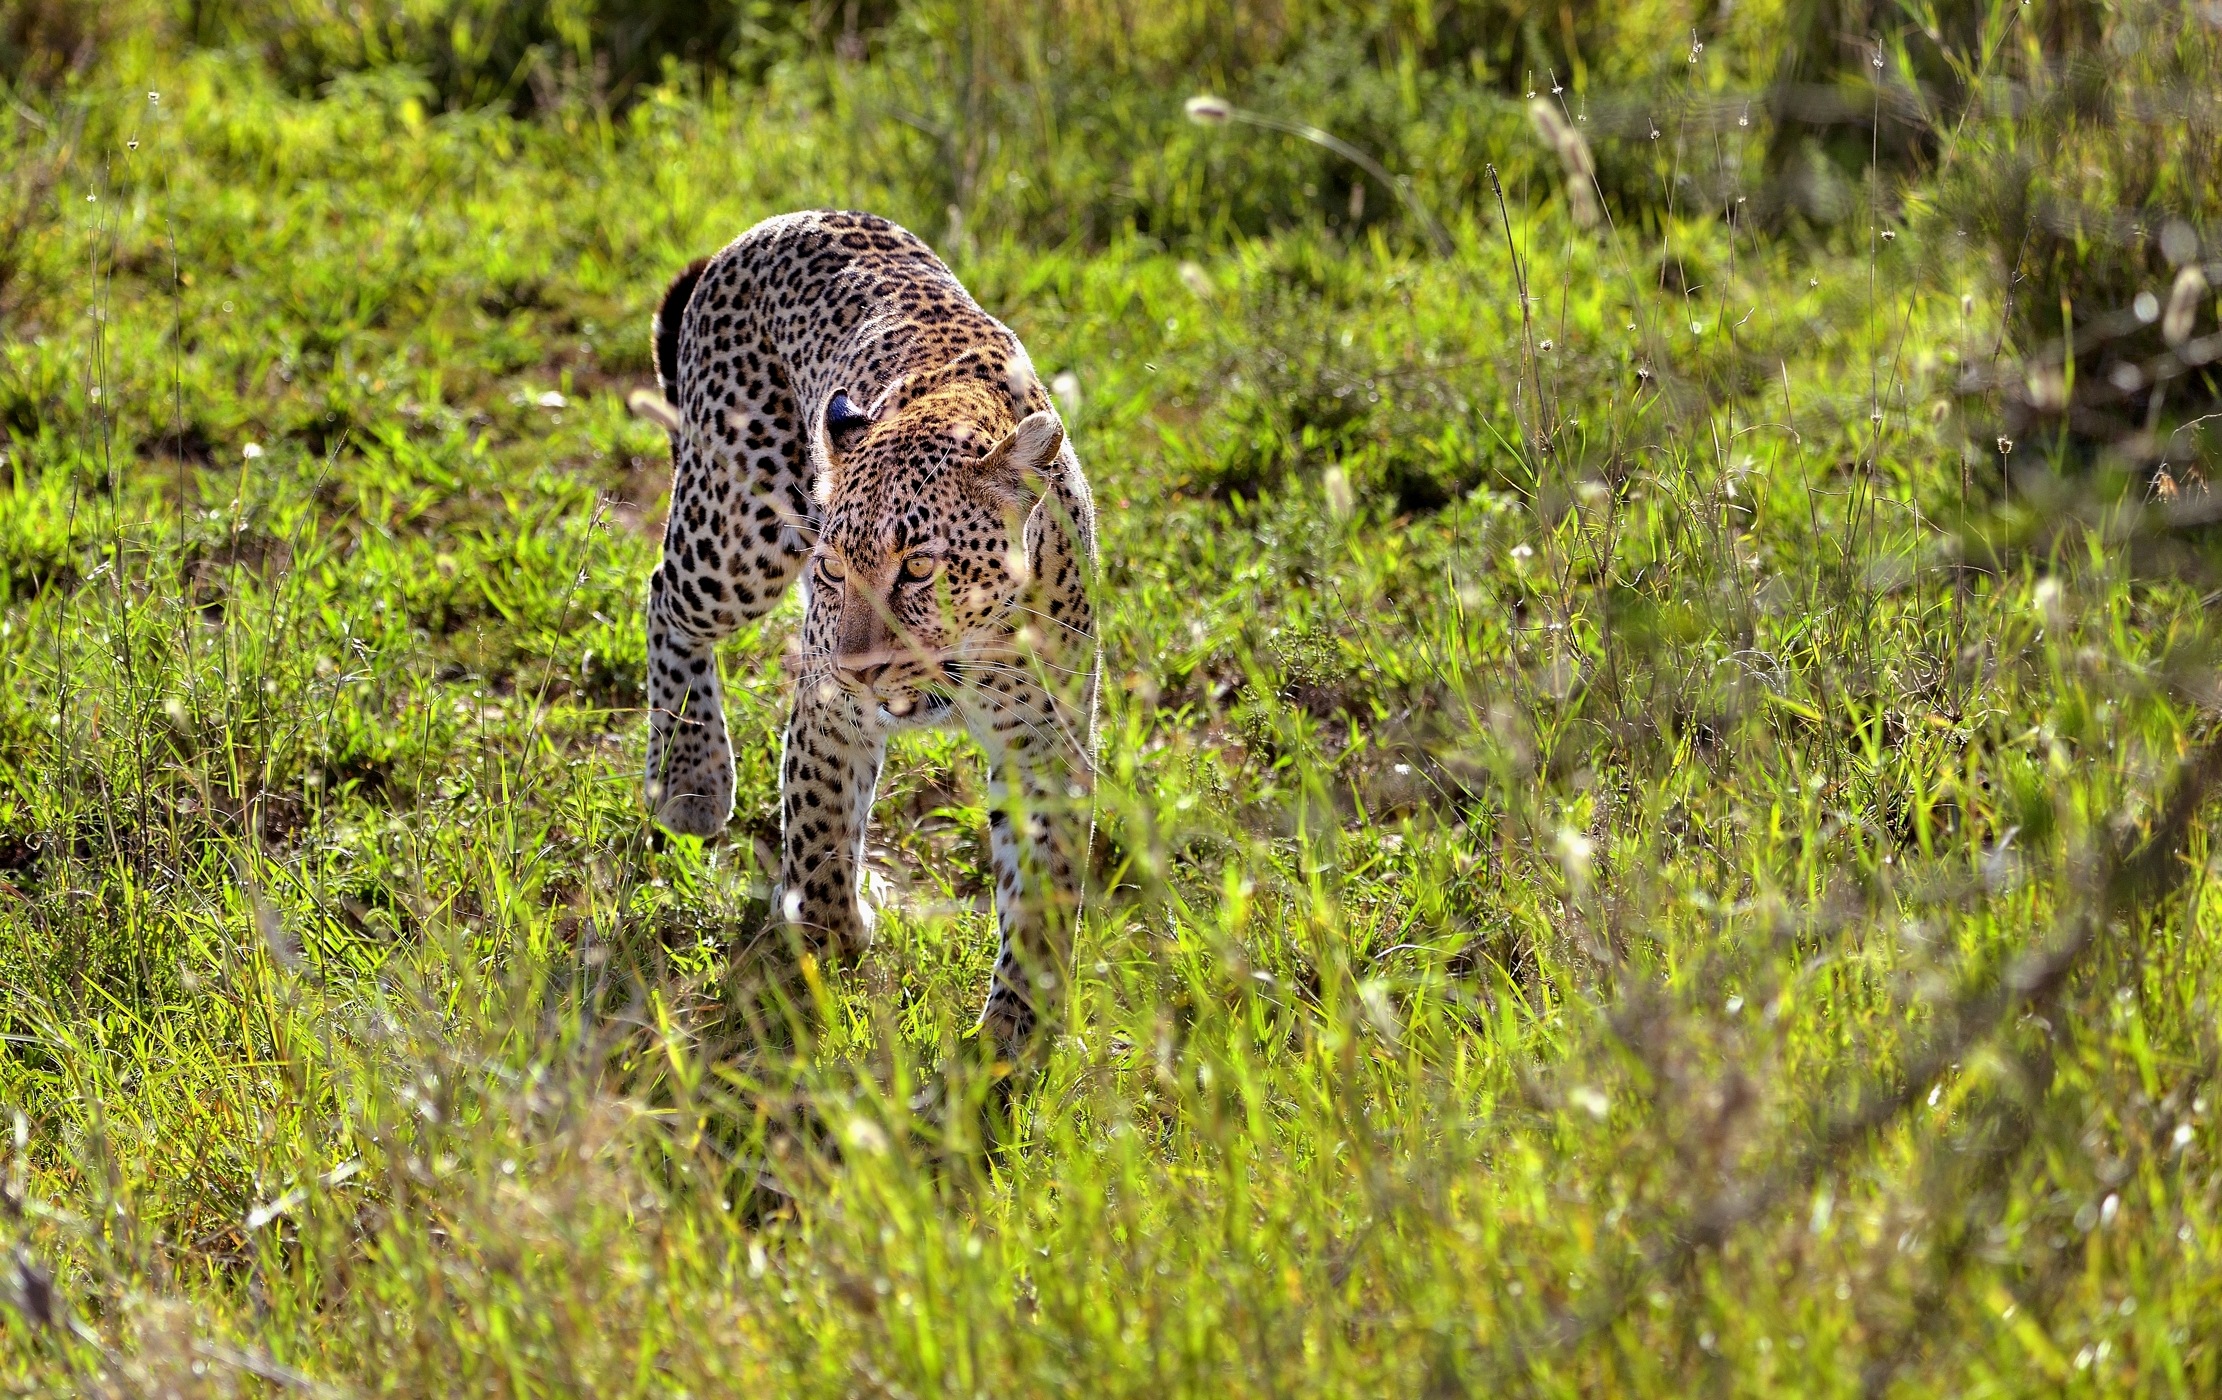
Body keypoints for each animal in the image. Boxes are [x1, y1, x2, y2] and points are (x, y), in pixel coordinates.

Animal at [632, 209, 1100, 1056]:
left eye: (918, 567)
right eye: (834, 568)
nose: (858, 671)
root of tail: (765, 228)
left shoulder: (1046, 748)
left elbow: (1041, 894)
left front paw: (1017, 1028)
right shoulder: (828, 711)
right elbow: (818, 828)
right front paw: (827, 943)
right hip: (739, 536)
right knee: (666, 600)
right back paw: (691, 780)